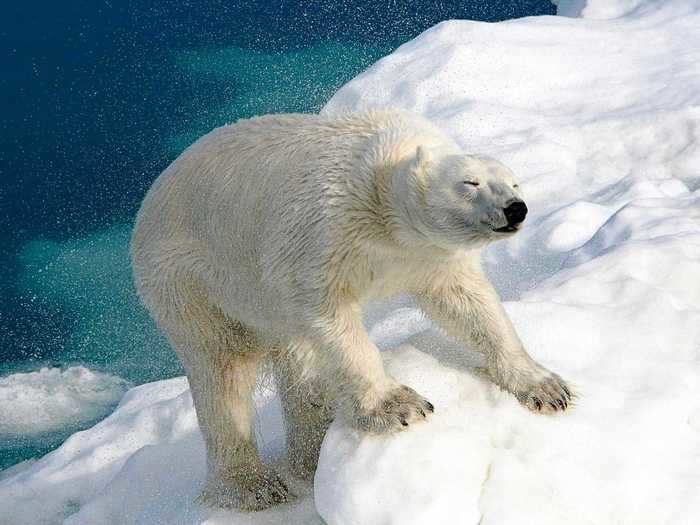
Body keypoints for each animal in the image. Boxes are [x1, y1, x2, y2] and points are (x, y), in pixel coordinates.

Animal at [129, 109, 572, 508]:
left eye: (514, 181)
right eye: (470, 182)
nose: (516, 207)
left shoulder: (428, 255)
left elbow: (469, 304)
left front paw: (546, 387)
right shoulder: (325, 231)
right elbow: (329, 315)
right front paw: (400, 405)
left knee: (296, 363)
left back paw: (310, 455)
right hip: (195, 283)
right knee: (224, 373)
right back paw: (253, 486)